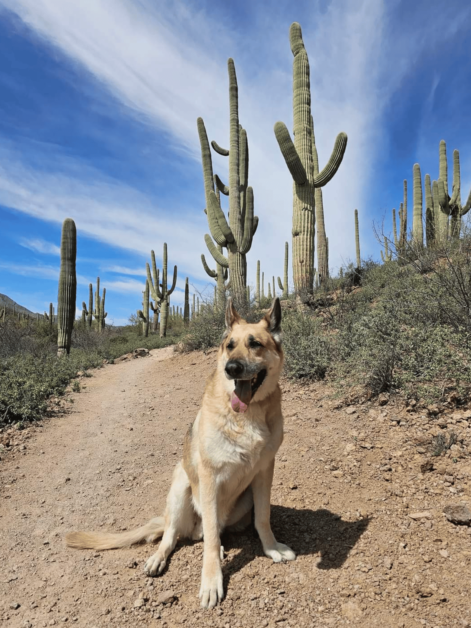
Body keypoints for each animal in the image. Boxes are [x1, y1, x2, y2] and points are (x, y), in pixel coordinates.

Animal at [66, 298, 296, 608]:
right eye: (230, 346)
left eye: (255, 344)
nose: (232, 369)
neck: (247, 415)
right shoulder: (210, 477)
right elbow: (209, 538)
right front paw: (211, 580)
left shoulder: (263, 473)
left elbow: (263, 518)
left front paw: (271, 549)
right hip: (180, 487)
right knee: (176, 536)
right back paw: (160, 558)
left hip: (240, 501)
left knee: (208, 533)